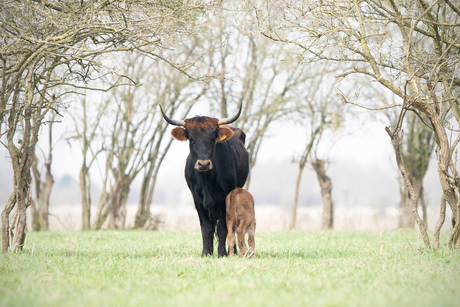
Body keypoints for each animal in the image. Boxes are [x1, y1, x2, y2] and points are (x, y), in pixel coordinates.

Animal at [161, 105, 250, 258]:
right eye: (191, 139)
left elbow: (222, 228)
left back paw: (233, 250)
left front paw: (222, 253)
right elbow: (206, 228)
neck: (207, 180)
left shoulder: (225, 197)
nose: (203, 164)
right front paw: (206, 253)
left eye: (212, 139)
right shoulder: (197, 198)